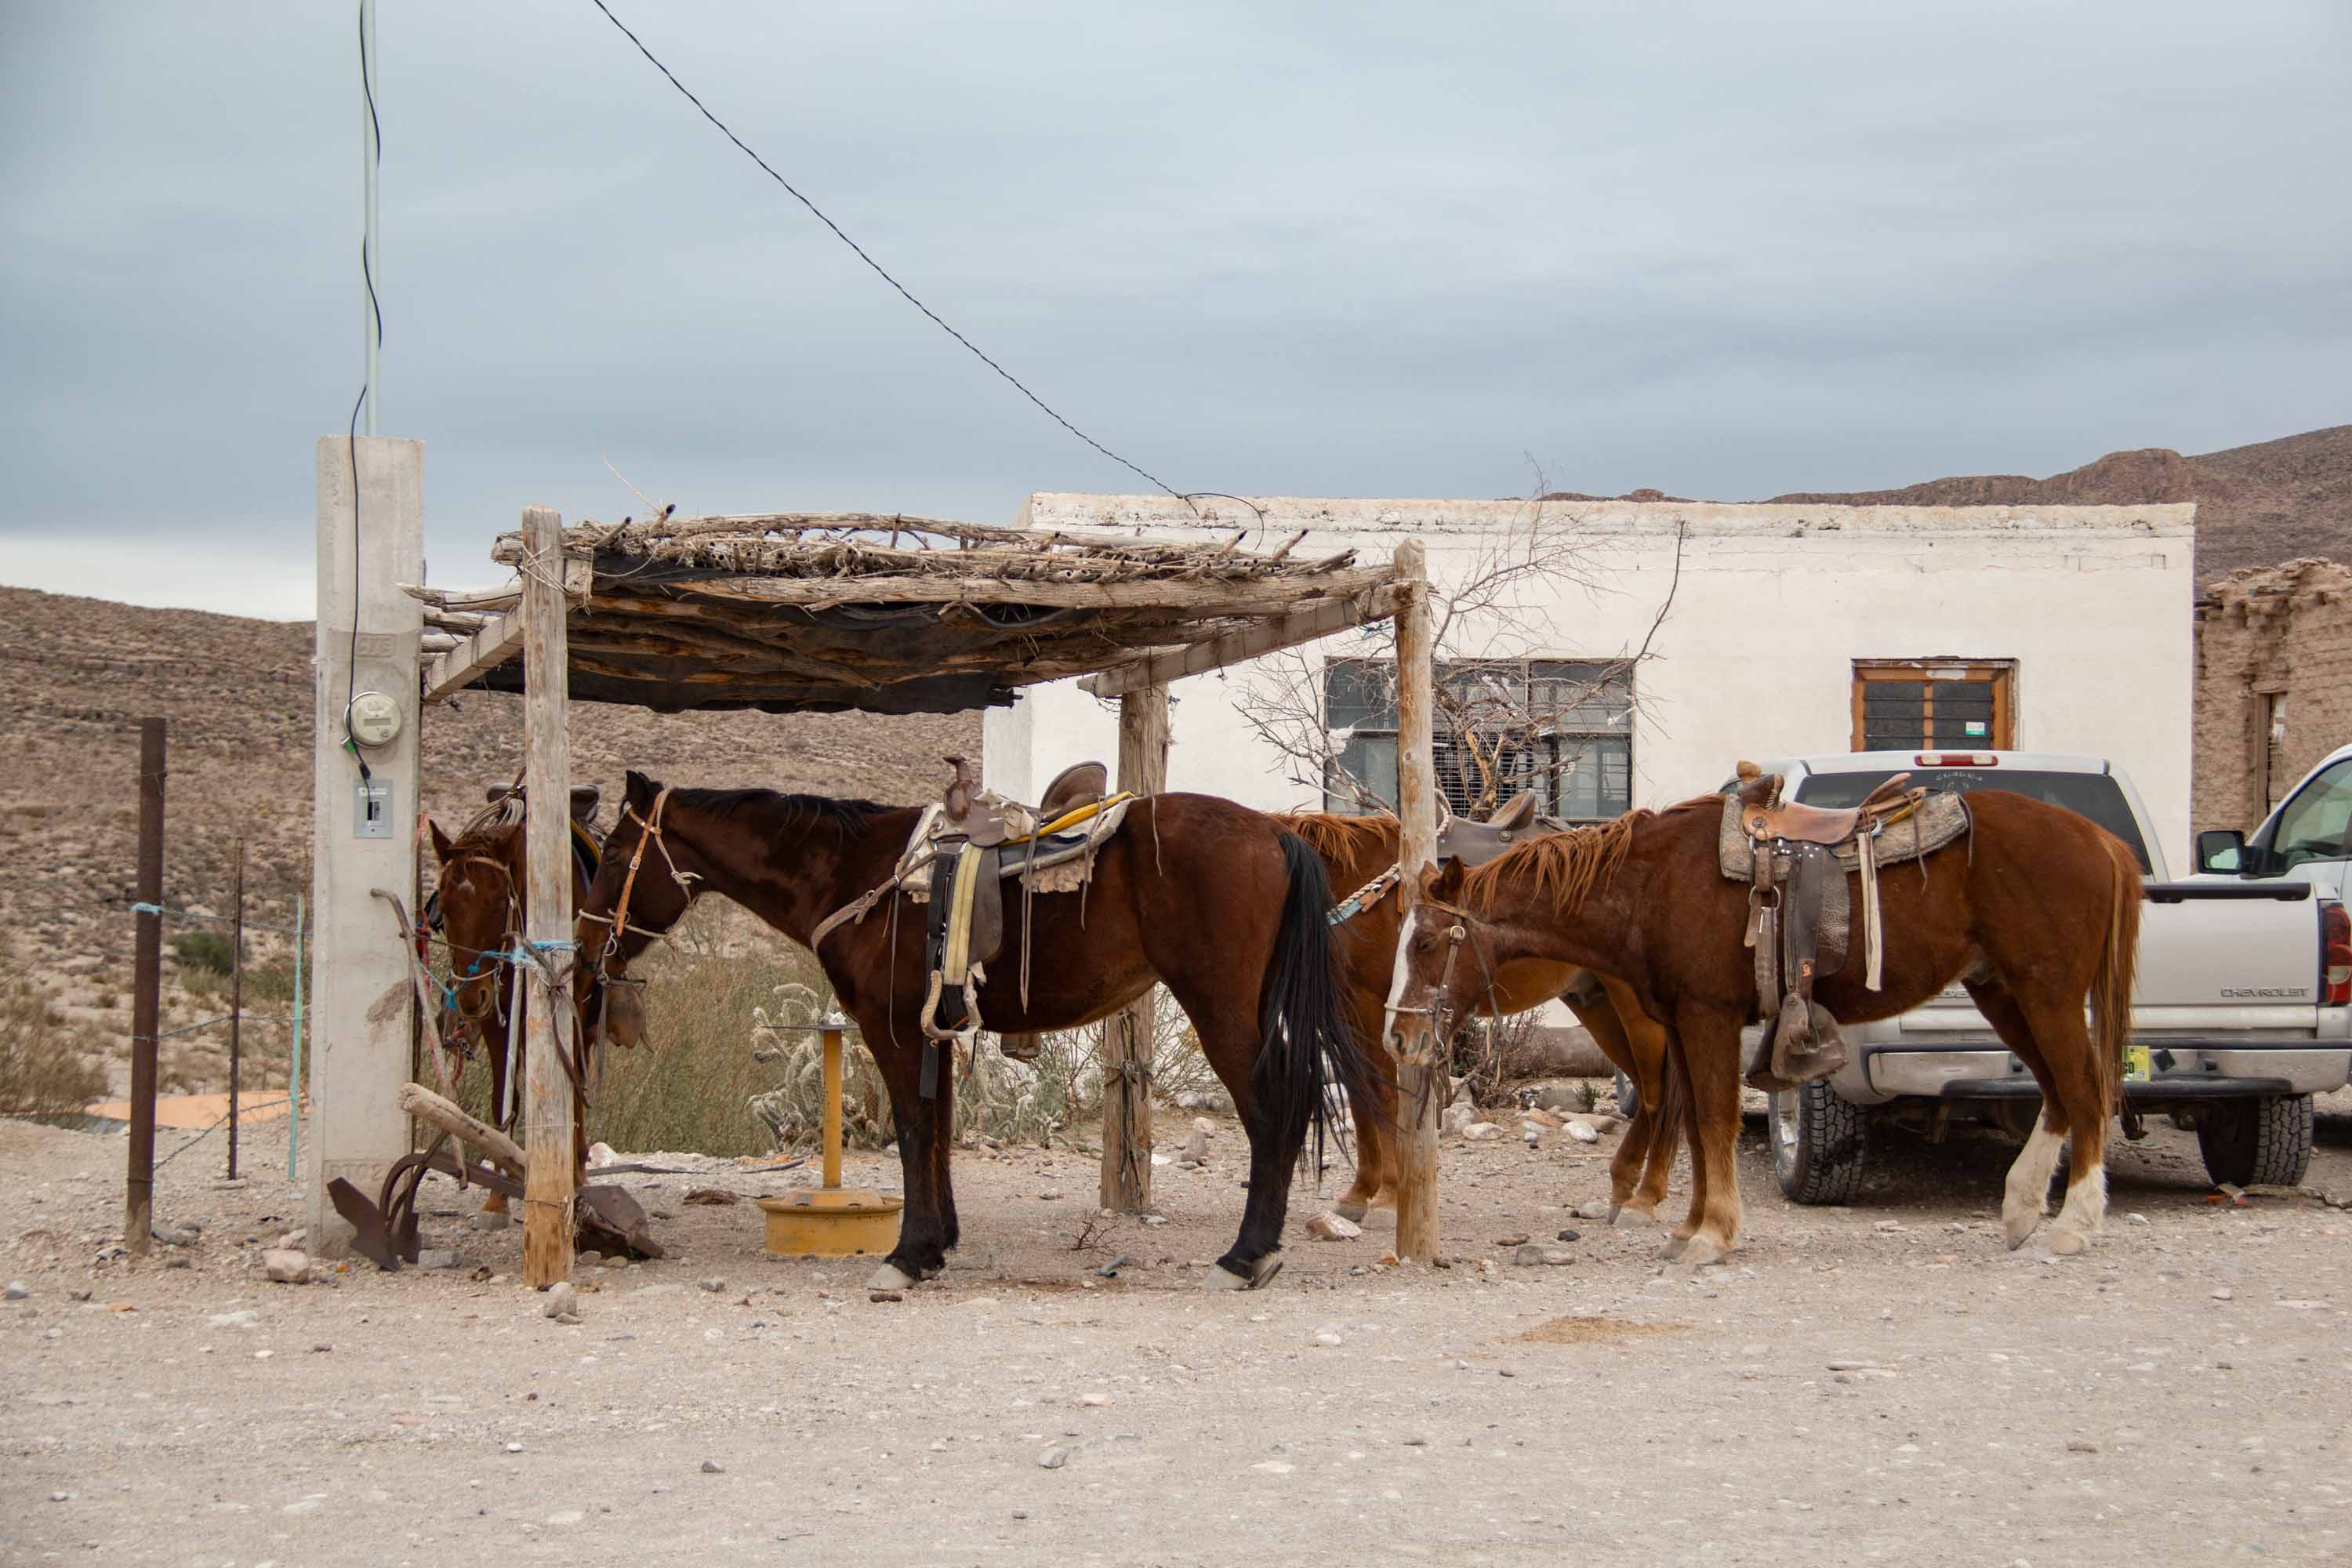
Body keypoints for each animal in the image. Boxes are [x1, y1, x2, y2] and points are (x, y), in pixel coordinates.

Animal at [574, 771, 1378, 1292]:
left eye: (611, 854)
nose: (585, 948)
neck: (852, 873)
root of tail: (1274, 832)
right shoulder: (934, 1029)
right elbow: (936, 1130)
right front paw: (937, 1246)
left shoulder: (892, 1028)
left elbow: (909, 1127)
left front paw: (905, 1256)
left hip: (1221, 1010)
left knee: (1271, 1111)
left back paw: (1246, 1257)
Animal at [1269, 811, 1687, 1226]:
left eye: (1425, 944)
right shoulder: (1352, 1014)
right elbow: (1361, 1099)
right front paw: (1360, 1193)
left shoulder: (1379, 1013)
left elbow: (1384, 1097)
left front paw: (1388, 1196)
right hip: (1597, 1005)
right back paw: (1628, 1187)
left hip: (1636, 1012)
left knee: (1661, 1091)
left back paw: (1645, 1196)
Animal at [1382, 789, 2141, 1266]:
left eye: (1427, 943)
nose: (1398, 1036)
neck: (1649, 886)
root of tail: (2099, 840)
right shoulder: (1679, 1020)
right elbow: (1694, 1122)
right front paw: (1689, 1226)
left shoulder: (1706, 1015)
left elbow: (1713, 1119)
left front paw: (1712, 1235)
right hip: (2003, 993)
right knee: (2057, 1094)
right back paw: (2021, 1210)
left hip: (2046, 994)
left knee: (2085, 1091)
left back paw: (2074, 1225)